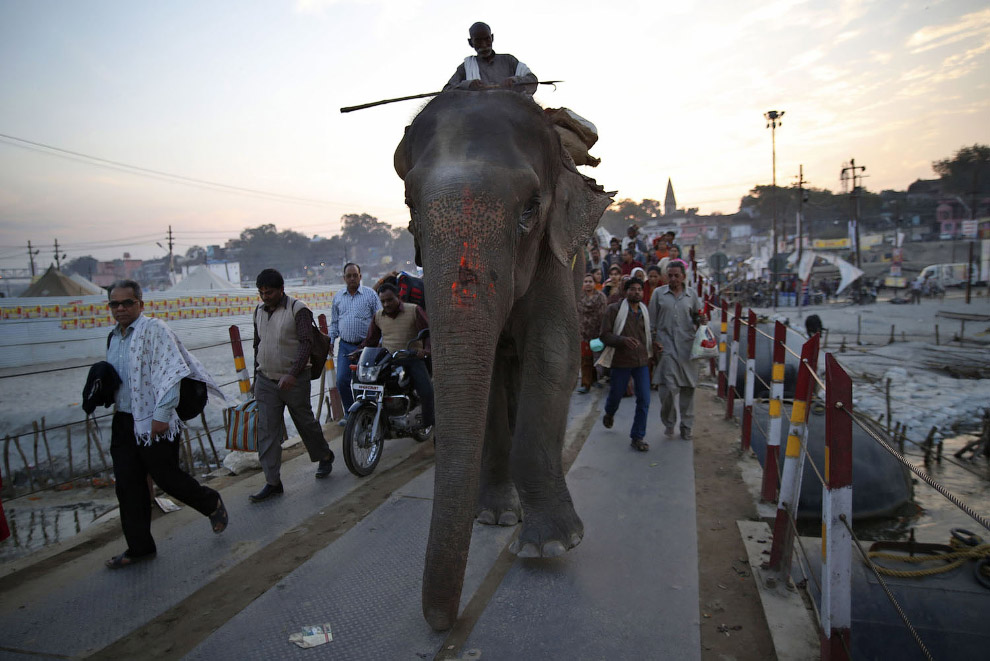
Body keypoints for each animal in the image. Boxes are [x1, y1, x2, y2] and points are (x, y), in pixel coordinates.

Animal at [394, 87, 612, 628]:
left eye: (531, 207)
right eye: (409, 204)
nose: (442, 622)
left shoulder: (556, 255)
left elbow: (553, 352)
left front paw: (550, 545)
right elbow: (487, 369)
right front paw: (494, 517)